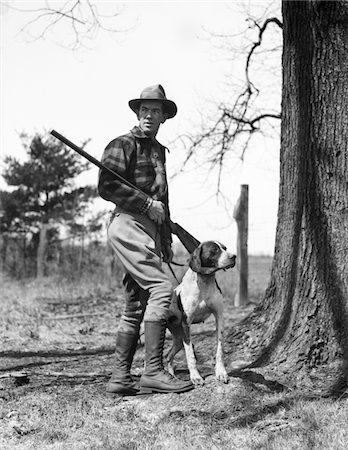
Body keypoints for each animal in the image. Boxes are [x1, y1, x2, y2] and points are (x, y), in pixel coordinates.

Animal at [167, 241, 237, 384]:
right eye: (215, 249)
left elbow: (219, 350)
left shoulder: (219, 317)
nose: (234, 256)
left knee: (168, 356)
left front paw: (221, 372)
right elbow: (190, 355)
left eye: (225, 248)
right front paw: (195, 376)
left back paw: (172, 375)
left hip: (178, 339)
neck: (205, 281)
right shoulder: (186, 324)